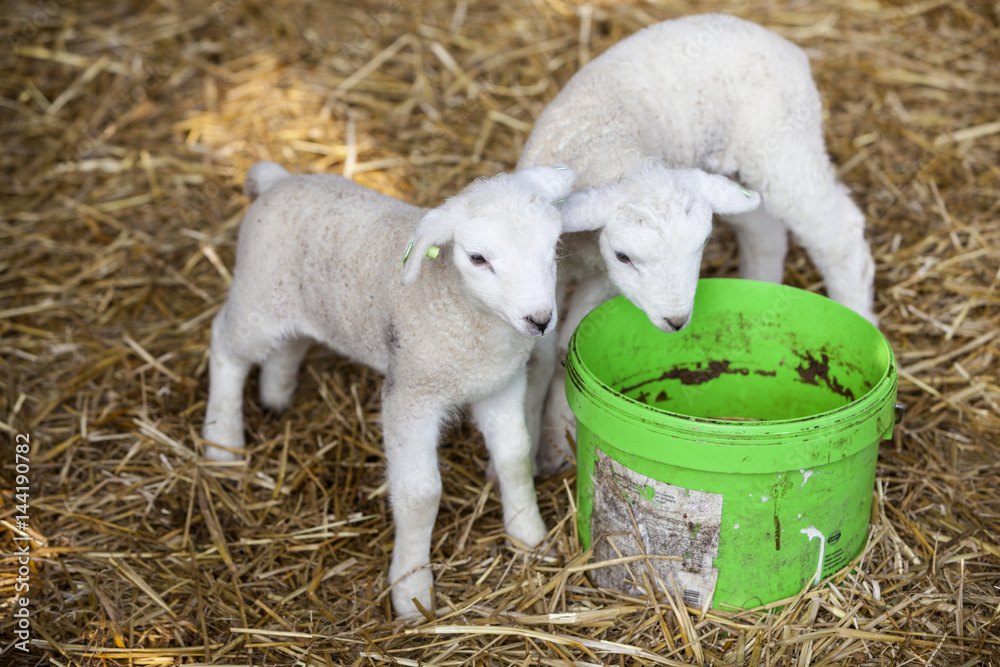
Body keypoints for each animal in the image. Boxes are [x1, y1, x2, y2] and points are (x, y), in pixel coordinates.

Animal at [201, 161, 584, 617]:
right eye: (477, 258)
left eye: (553, 245)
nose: (540, 320)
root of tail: (279, 180)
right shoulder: (411, 396)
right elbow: (420, 495)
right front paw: (412, 590)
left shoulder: (501, 386)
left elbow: (514, 459)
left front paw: (529, 536)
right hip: (257, 298)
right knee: (225, 346)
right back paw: (222, 443)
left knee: (290, 344)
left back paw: (275, 395)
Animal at [516, 13, 878, 473]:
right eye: (624, 256)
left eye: (702, 246)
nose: (676, 321)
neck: (609, 151)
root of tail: (776, 39)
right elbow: (539, 357)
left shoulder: (602, 283)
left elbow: (568, 345)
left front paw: (557, 440)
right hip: (735, 173)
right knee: (764, 229)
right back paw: (762, 289)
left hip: (785, 150)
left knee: (840, 236)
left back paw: (859, 316)